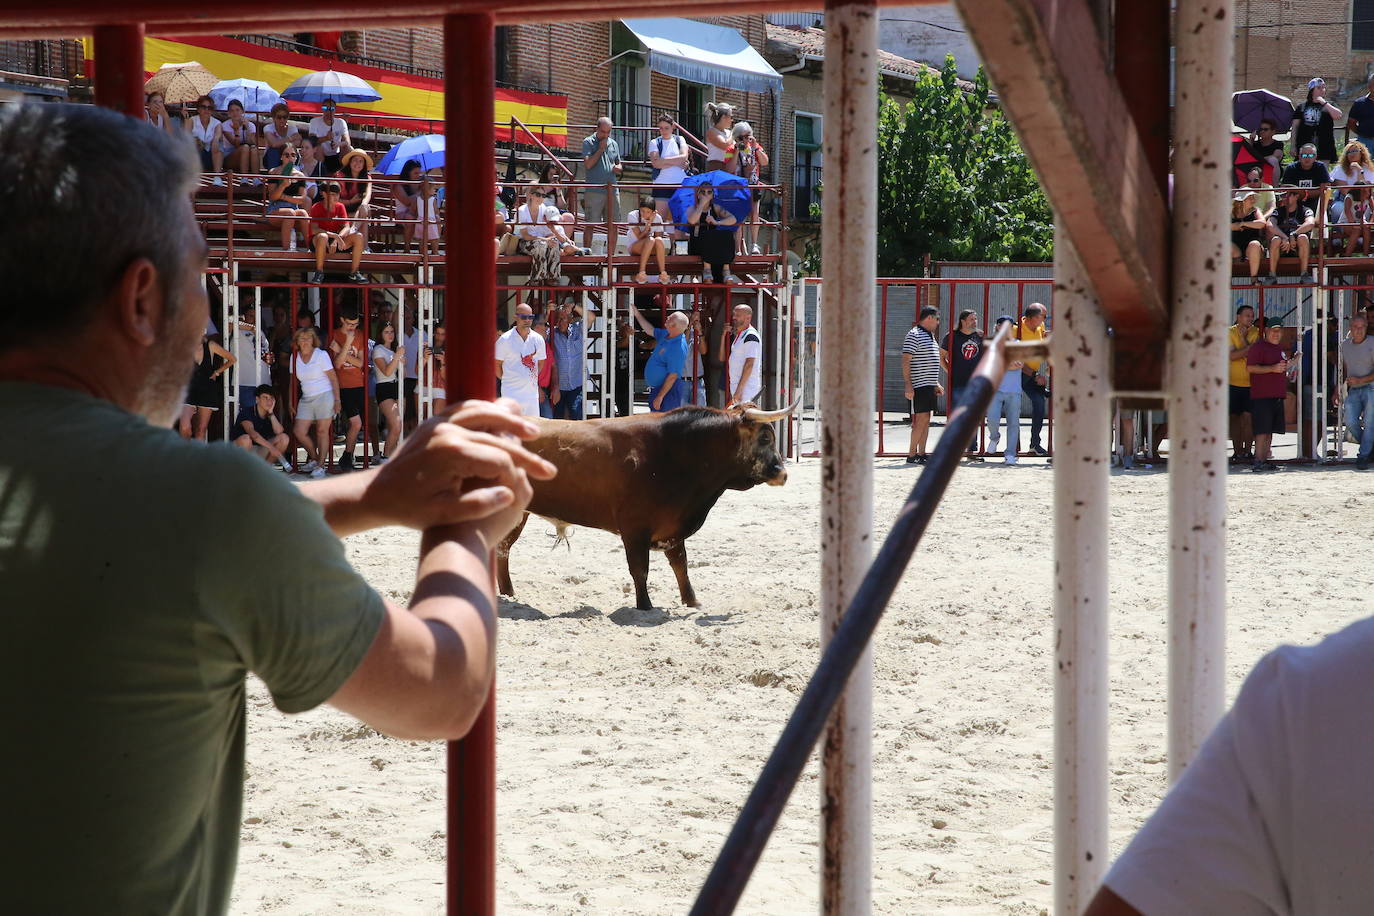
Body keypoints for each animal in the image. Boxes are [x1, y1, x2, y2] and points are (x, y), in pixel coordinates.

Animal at [497, 401, 796, 609]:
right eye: (765, 437)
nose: (783, 474)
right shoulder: (634, 529)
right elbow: (640, 569)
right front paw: (645, 605)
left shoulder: (672, 527)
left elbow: (681, 565)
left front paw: (692, 601)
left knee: (502, 550)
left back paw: (507, 594)